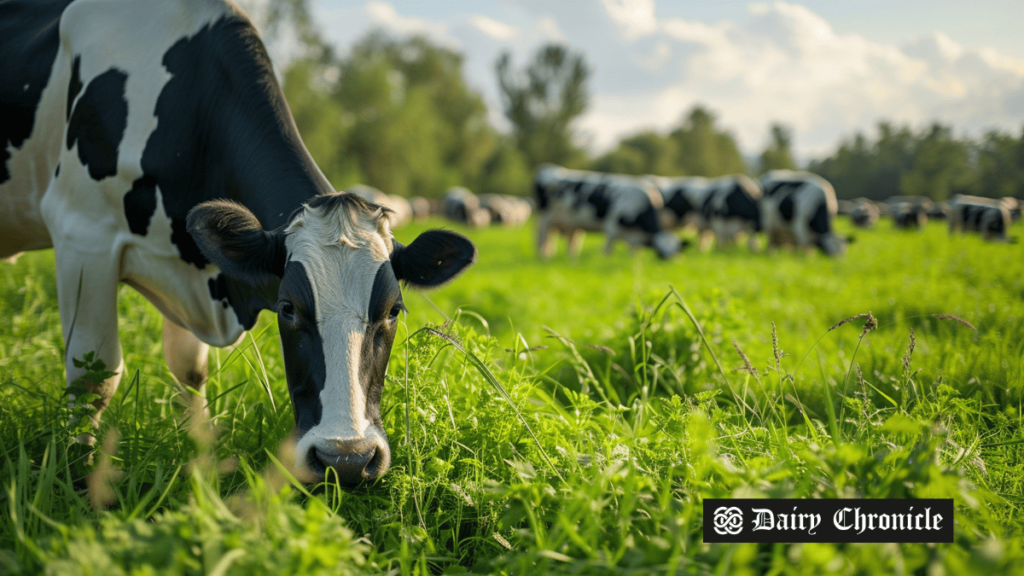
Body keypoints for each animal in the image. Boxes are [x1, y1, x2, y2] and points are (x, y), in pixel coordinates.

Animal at [1, 0, 475, 483]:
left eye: (394, 310)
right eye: (287, 308)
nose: (347, 460)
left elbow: (189, 369)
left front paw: (200, 453)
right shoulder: (81, 234)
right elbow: (94, 376)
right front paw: (76, 472)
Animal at [532, 163, 684, 258]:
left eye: (676, 253)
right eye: (661, 255)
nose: (676, 264)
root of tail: (547, 167)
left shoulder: (635, 237)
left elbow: (634, 254)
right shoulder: (611, 228)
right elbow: (607, 251)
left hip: (567, 225)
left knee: (567, 243)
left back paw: (570, 259)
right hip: (544, 219)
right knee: (541, 240)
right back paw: (542, 257)